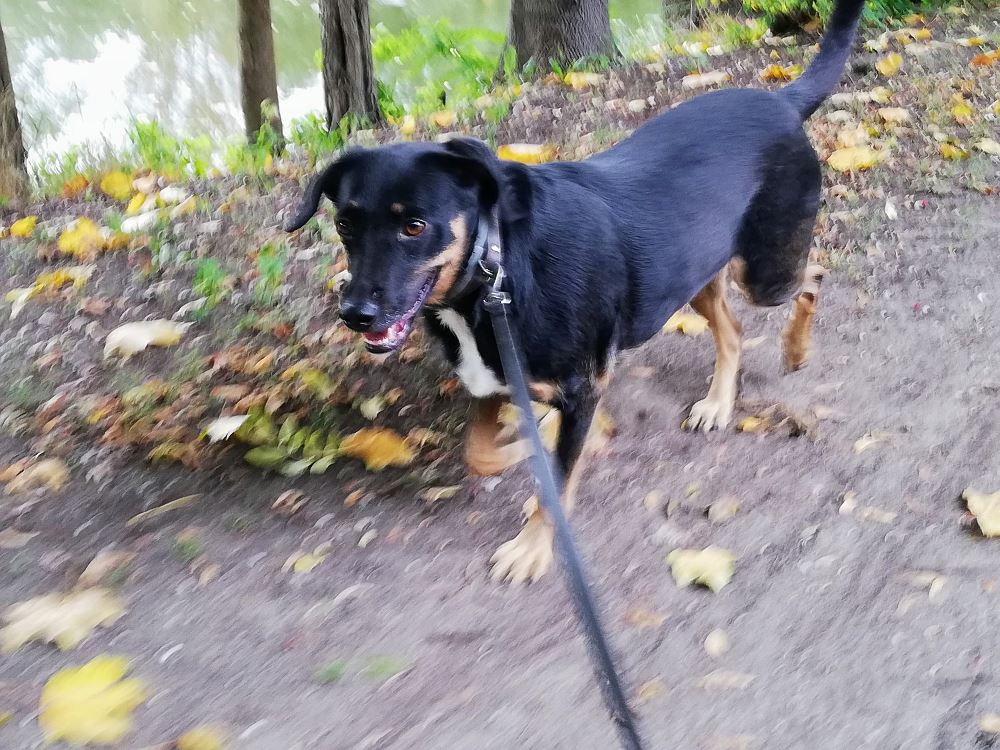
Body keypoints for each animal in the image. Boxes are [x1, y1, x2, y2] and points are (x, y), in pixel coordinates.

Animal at [284, 0, 865, 584]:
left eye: (414, 226)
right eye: (344, 225)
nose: (354, 314)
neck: (495, 274)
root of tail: (779, 100)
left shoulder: (580, 389)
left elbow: (556, 479)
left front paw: (532, 545)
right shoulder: (494, 382)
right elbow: (482, 453)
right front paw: (534, 442)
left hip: (763, 270)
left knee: (812, 277)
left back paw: (795, 351)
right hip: (691, 274)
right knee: (734, 328)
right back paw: (719, 403)